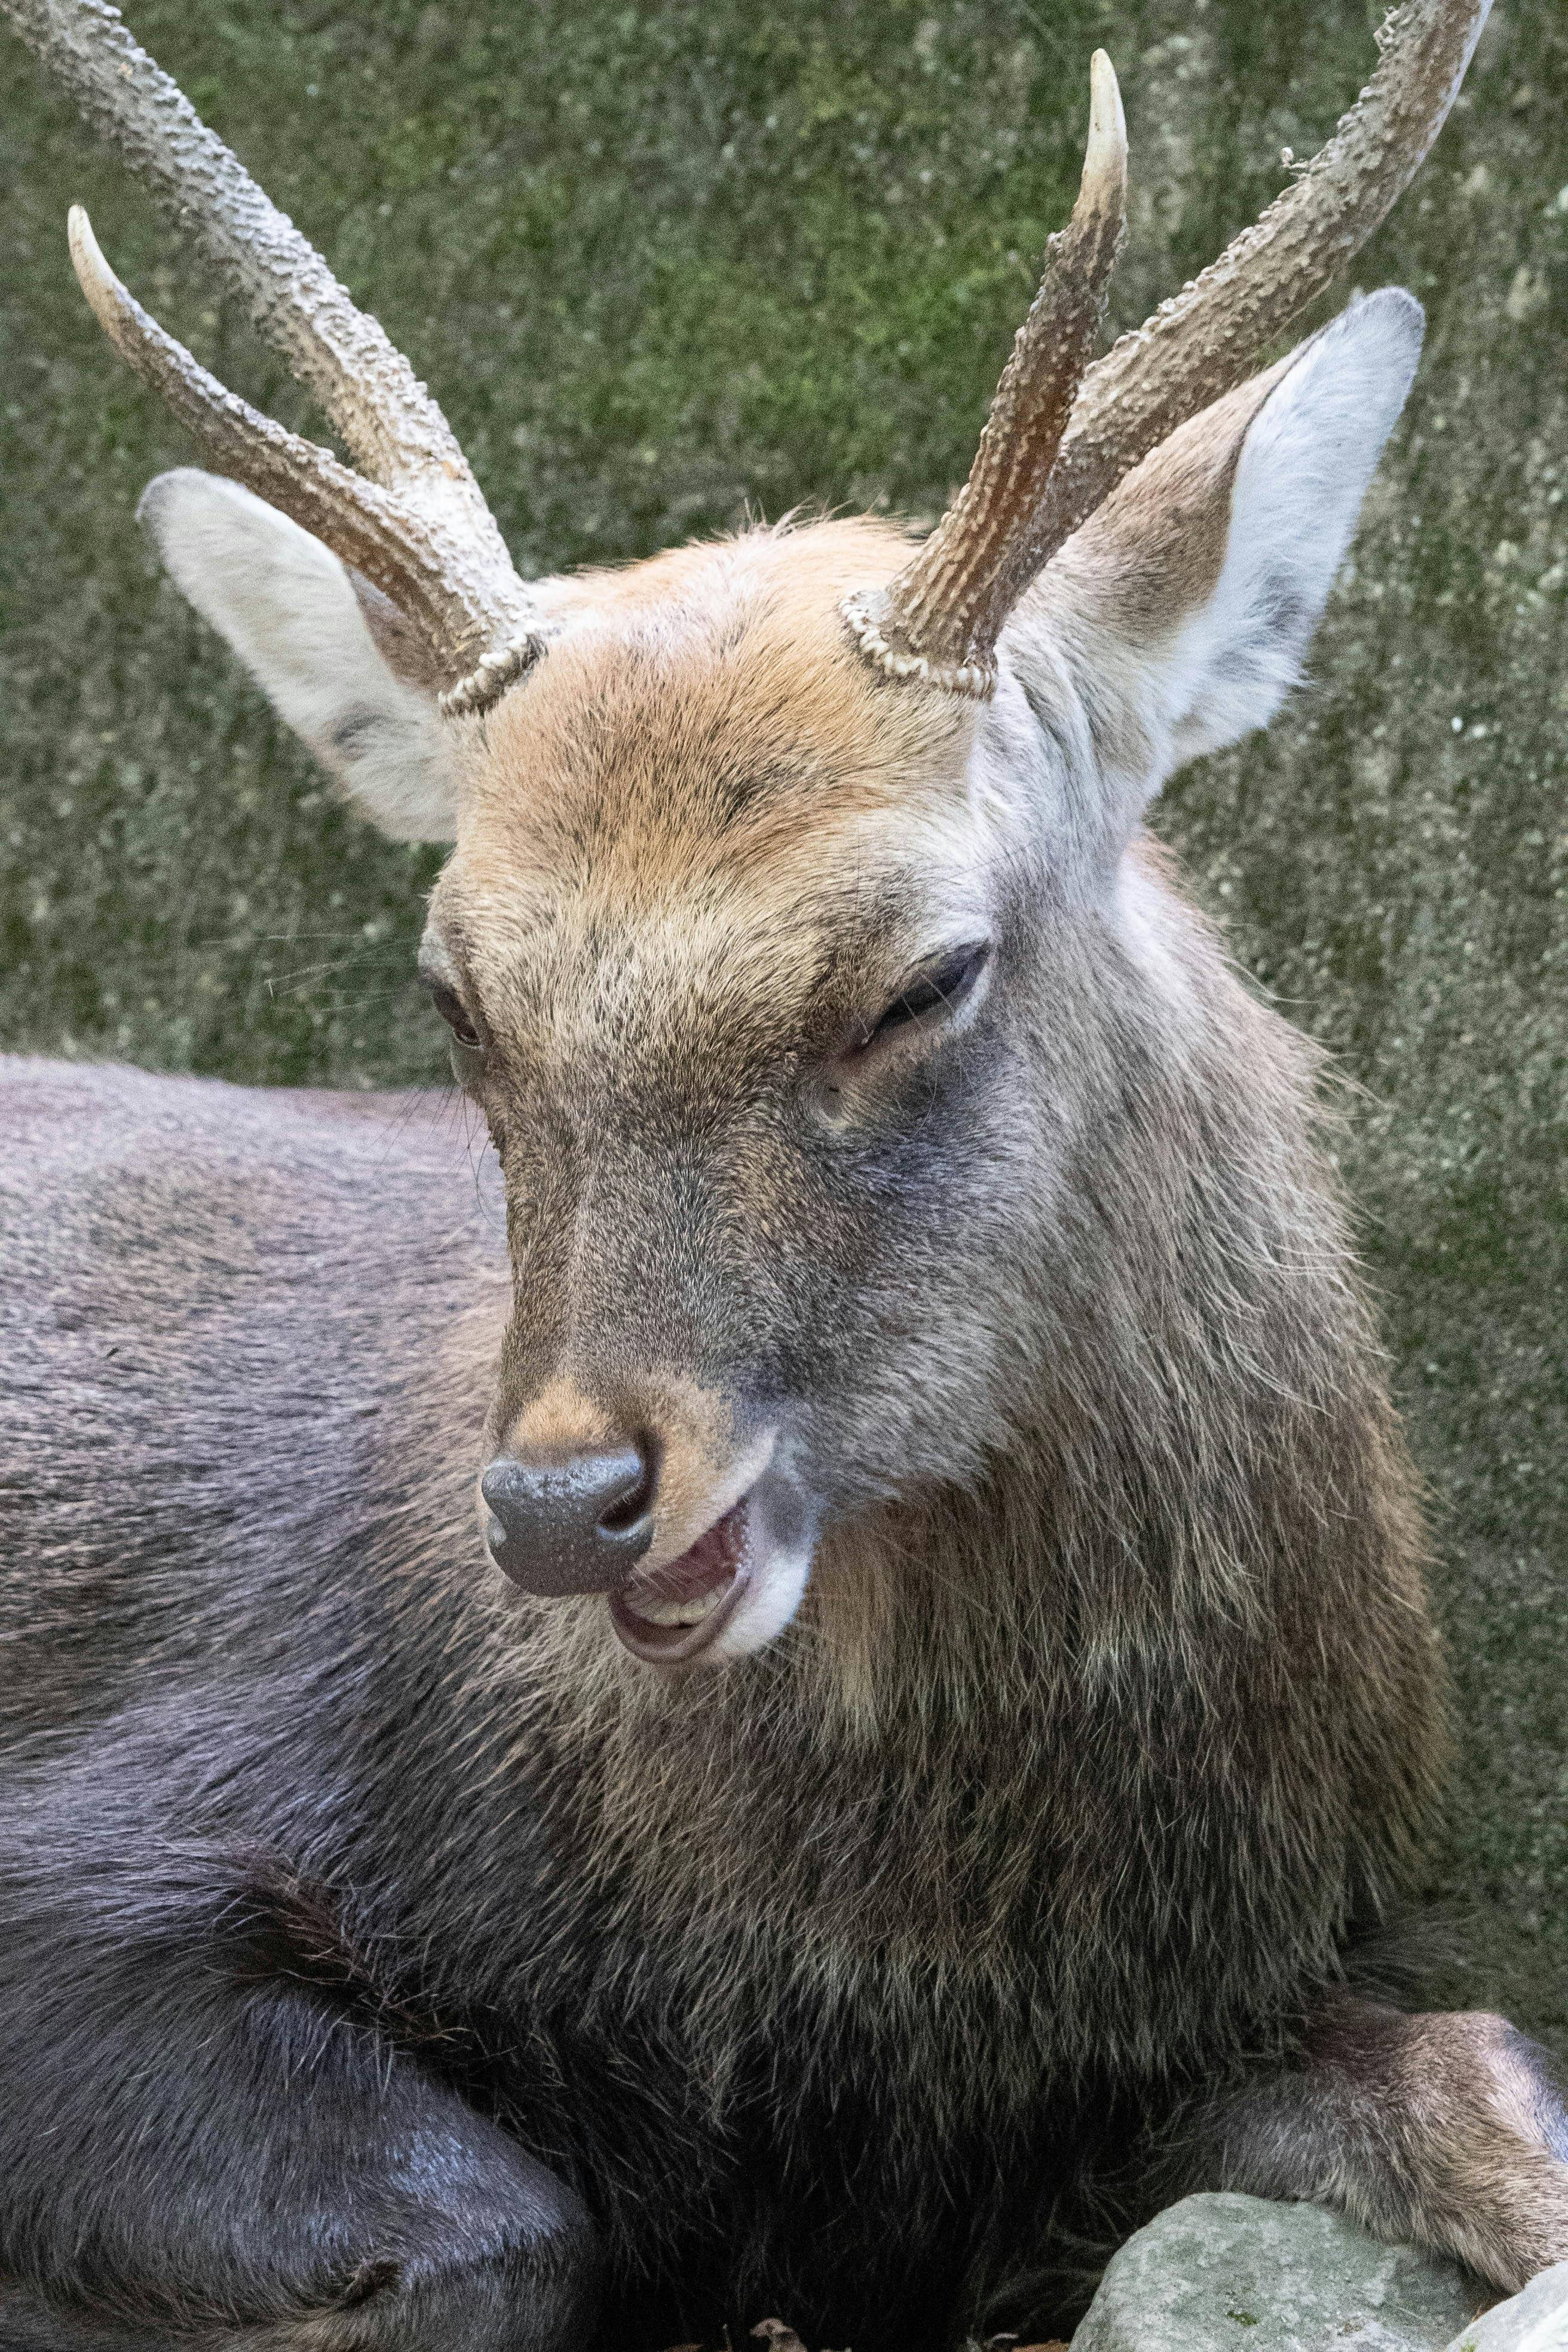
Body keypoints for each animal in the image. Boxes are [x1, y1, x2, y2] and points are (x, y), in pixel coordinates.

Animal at [1, 0, 1564, 2345]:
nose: (566, 1499)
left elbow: (1485, 2075)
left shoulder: (1134, 2066)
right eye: (455, 989)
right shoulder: (102, 1842)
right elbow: (504, 2223)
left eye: (924, 972)